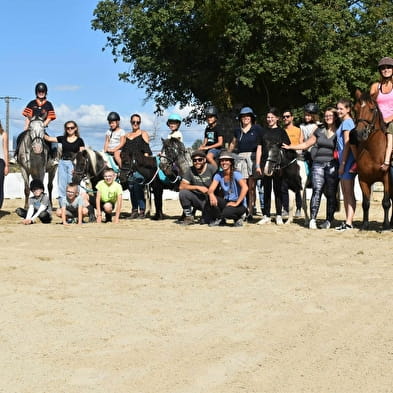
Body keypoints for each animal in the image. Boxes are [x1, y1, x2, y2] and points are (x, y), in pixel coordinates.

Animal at [352, 89, 392, 230]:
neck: (373, 152)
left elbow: (386, 202)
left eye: (371, 109)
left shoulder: (387, 179)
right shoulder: (363, 179)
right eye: (355, 109)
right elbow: (365, 203)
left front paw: (386, 226)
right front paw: (365, 225)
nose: (359, 133)